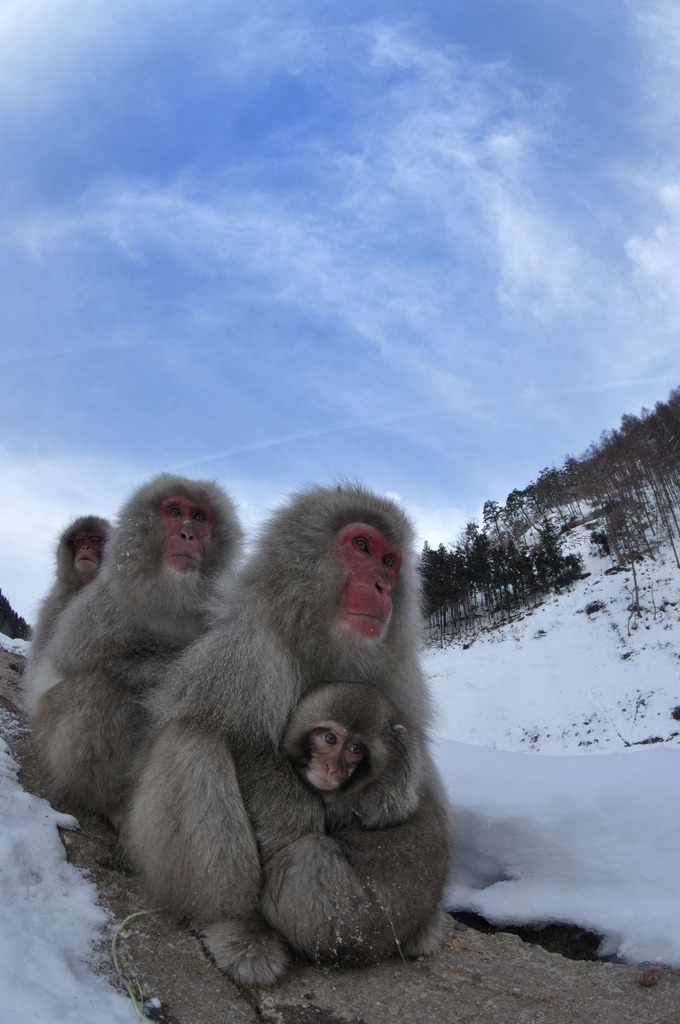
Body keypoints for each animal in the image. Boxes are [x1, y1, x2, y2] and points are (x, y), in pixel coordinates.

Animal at [23, 471, 241, 823]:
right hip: (47, 730)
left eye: (199, 516)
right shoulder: (107, 601)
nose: (186, 534)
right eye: (175, 512)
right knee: (103, 688)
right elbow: (77, 657)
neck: (172, 593)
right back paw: (101, 802)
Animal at [124, 483, 454, 987]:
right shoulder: (247, 651)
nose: (383, 586)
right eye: (362, 547)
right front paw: (294, 819)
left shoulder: (394, 670)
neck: (321, 641)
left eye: (390, 561)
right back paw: (235, 925)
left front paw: (386, 788)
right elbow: (241, 739)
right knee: (192, 741)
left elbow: (412, 748)